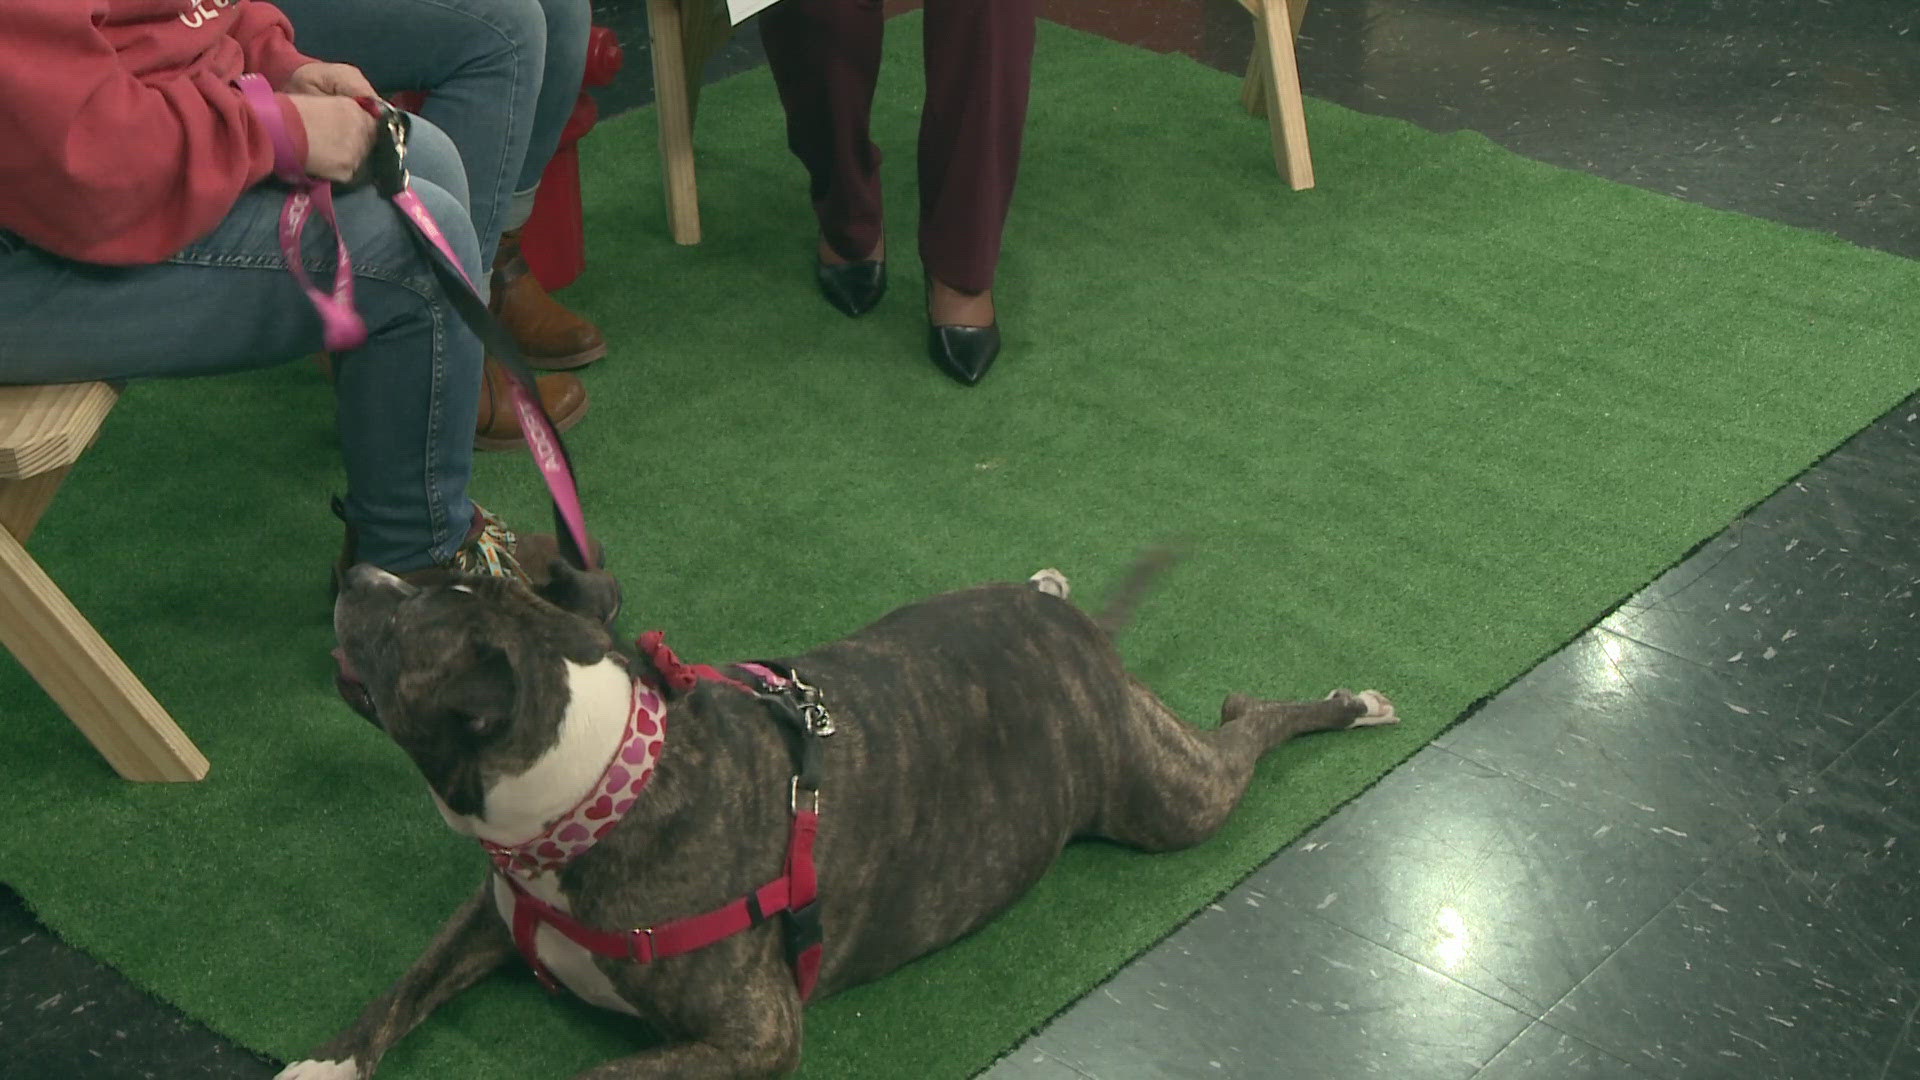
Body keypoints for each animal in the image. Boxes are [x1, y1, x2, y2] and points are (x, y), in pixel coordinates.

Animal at [284, 549, 1397, 1068]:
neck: (602, 784)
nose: (355, 570)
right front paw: (321, 1065)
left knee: (1246, 729)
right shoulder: (490, 913)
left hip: (1169, 797)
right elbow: (404, 986)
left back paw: (1351, 704)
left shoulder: (755, 1037)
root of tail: (1082, 637)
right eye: (424, 581)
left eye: (401, 629)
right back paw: (1046, 572)